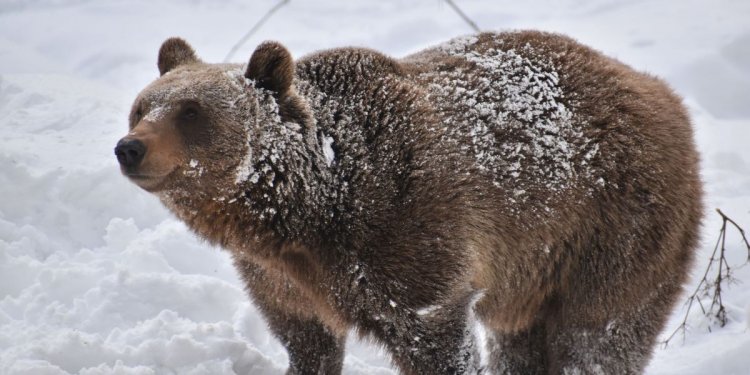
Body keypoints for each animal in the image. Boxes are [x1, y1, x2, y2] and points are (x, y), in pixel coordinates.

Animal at [116, 32, 704, 375]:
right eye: (142, 106)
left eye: (191, 112)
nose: (130, 148)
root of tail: (661, 91)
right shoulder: (281, 279)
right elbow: (307, 340)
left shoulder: (410, 237)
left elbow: (434, 338)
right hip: (534, 269)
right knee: (522, 339)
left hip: (613, 224)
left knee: (601, 333)